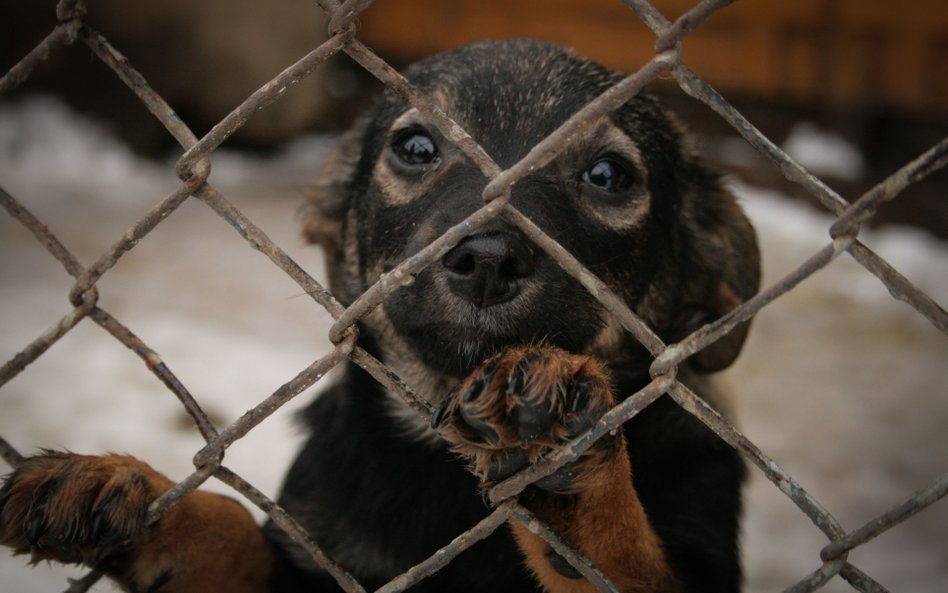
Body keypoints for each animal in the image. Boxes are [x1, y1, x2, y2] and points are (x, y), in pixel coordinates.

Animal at [0, 40, 756, 592]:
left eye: (608, 176)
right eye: (416, 147)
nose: (487, 258)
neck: (440, 461)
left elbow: (627, 557)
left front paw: (566, 443)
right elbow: (235, 530)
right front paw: (124, 488)